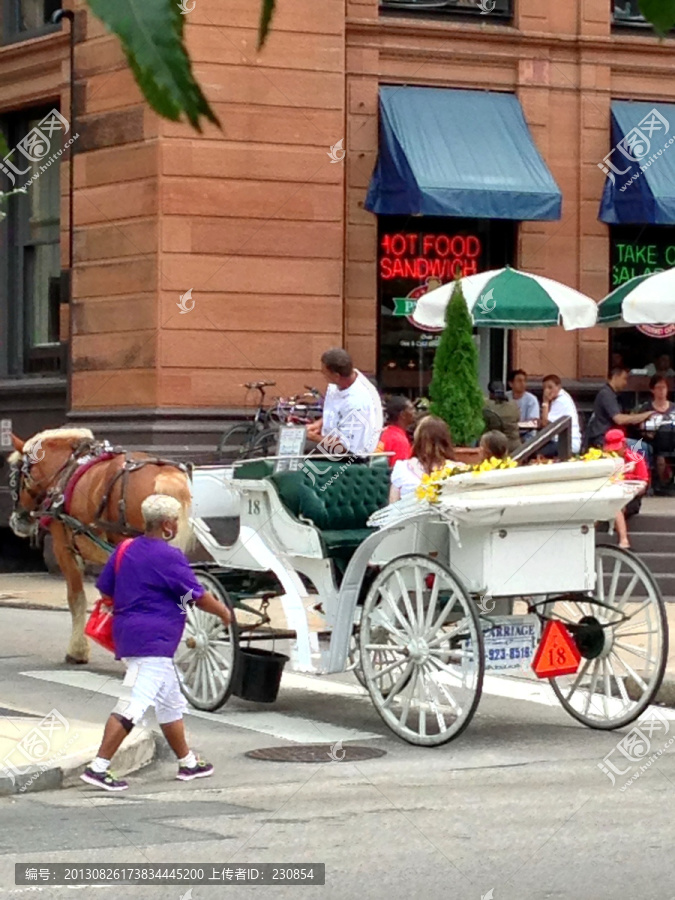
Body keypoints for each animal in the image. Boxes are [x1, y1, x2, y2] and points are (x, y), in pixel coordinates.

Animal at [8, 426, 193, 664]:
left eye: (17, 476)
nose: (17, 520)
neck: (66, 470)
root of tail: (163, 475)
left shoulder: (64, 547)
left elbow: (77, 598)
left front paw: (77, 651)